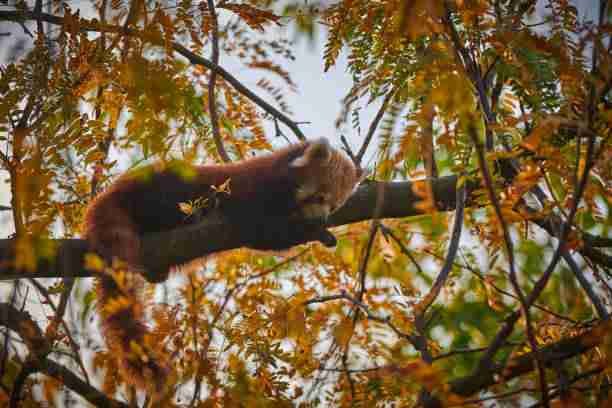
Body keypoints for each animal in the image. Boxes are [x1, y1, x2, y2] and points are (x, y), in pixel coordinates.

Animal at [85, 139, 364, 392]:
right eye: (319, 196)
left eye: (335, 205)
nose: (321, 219)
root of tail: (110, 193)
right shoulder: (254, 193)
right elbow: (265, 233)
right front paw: (315, 232)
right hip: (160, 193)